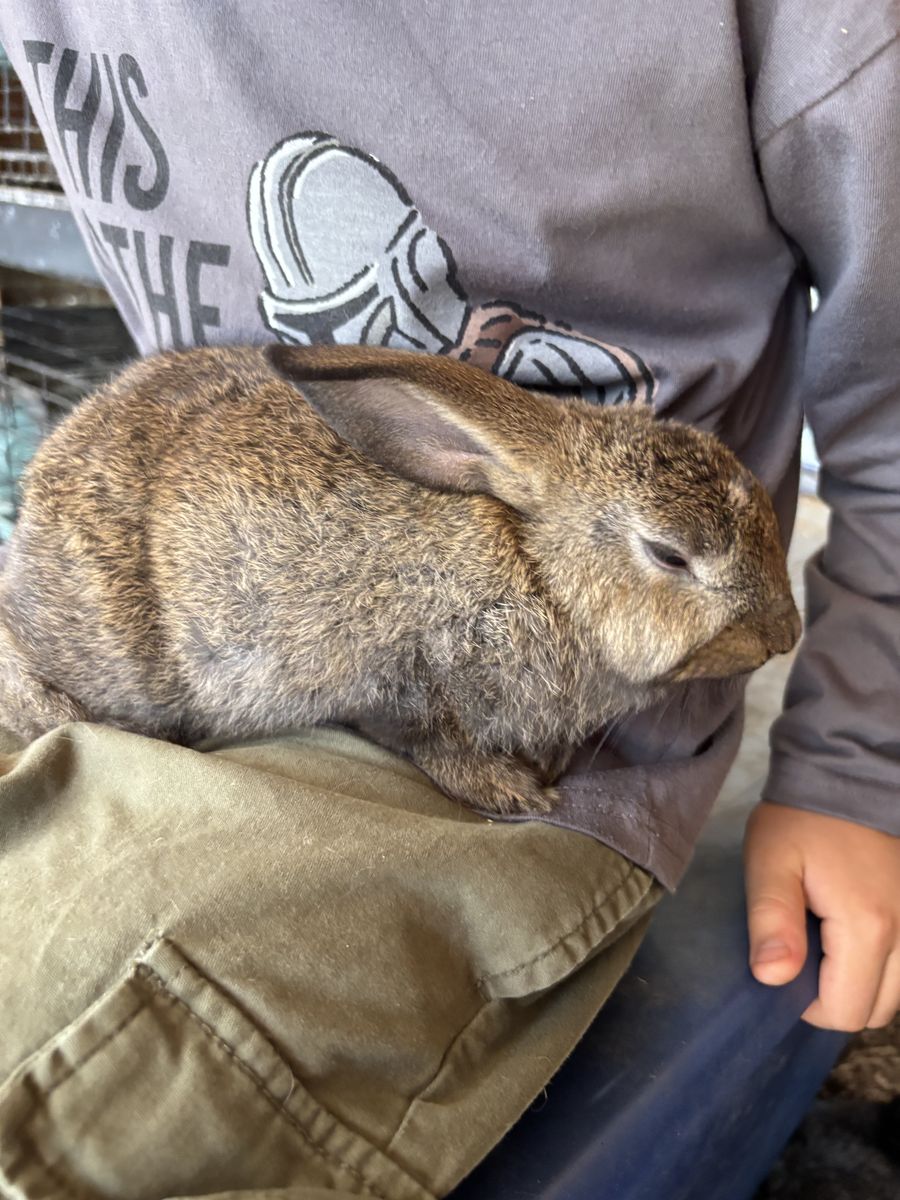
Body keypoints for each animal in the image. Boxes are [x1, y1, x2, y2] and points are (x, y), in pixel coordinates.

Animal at [0, 343, 800, 815]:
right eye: (669, 555)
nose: (784, 635)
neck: (539, 572)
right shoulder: (397, 674)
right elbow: (428, 739)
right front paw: (515, 792)